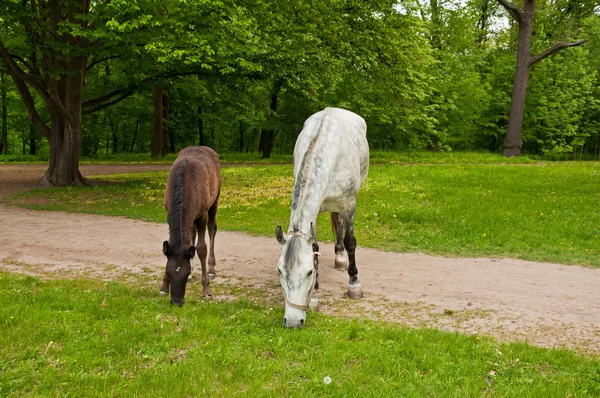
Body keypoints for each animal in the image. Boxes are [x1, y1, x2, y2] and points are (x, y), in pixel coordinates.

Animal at [276, 107, 368, 328]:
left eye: (309, 271)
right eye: (280, 271)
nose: (292, 321)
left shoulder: (349, 205)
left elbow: (350, 241)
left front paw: (354, 284)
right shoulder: (315, 212)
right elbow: (315, 248)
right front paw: (315, 298)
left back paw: (342, 259)